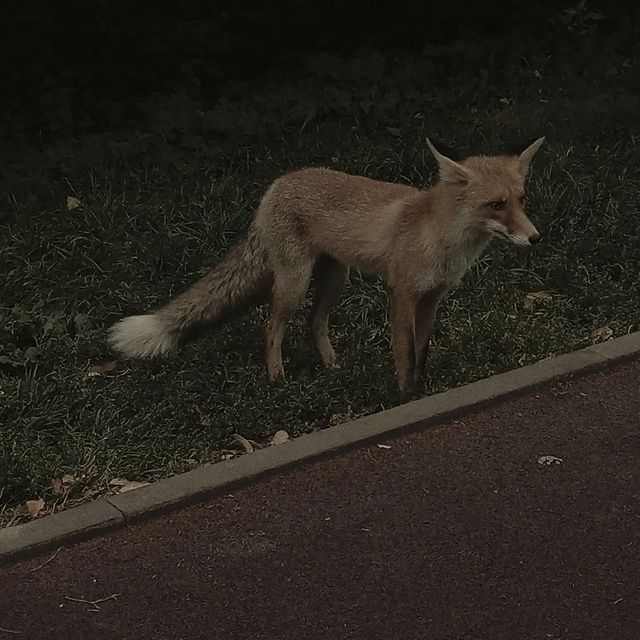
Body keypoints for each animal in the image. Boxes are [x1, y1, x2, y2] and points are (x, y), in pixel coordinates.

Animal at [108, 136, 545, 394]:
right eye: (495, 205)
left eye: (522, 200)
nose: (536, 238)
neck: (440, 239)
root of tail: (276, 184)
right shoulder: (401, 294)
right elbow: (404, 354)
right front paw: (404, 396)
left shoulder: (432, 298)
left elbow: (422, 351)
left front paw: (423, 389)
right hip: (294, 282)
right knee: (273, 327)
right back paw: (277, 378)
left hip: (336, 279)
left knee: (313, 323)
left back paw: (332, 367)